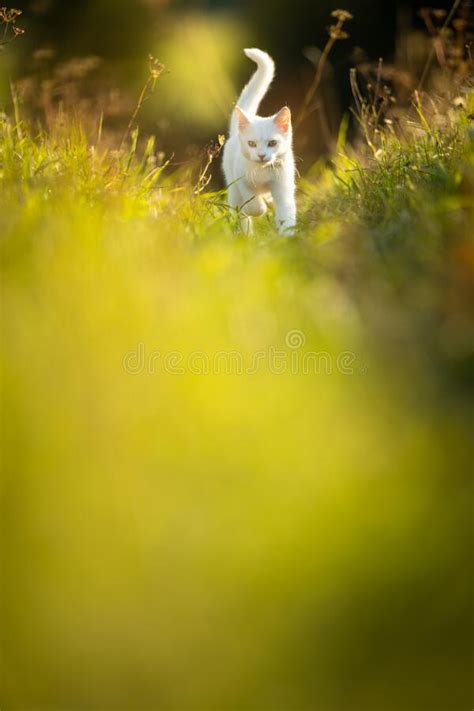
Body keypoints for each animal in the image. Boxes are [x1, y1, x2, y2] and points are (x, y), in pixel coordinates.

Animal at [222, 48, 296, 236]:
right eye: (252, 144)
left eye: (272, 143)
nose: (261, 155)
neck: (262, 171)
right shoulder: (241, 180)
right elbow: (252, 202)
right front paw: (259, 208)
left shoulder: (284, 187)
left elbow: (286, 213)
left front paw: (287, 237)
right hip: (233, 188)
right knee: (240, 212)